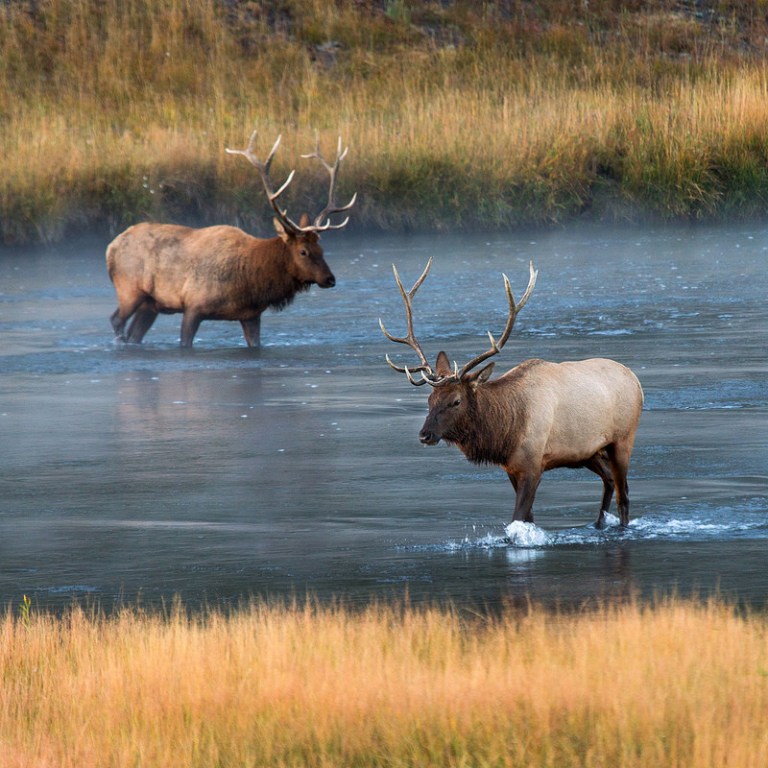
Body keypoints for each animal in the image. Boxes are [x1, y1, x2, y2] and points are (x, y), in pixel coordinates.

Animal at [106, 130, 356, 347]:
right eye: (303, 251)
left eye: (321, 250)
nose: (330, 279)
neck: (250, 281)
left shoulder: (250, 315)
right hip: (129, 289)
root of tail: (111, 246)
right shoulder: (193, 306)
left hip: (151, 304)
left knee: (135, 333)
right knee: (116, 320)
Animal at [379, 259, 644, 529]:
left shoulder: (533, 465)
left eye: (456, 401)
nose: (425, 435)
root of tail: (634, 378)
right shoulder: (511, 468)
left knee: (624, 494)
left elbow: (517, 518)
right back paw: (598, 524)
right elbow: (528, 519)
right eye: (430, 399)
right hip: (587, 451)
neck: (506, 432)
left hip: (623, 439)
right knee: (608, 481)